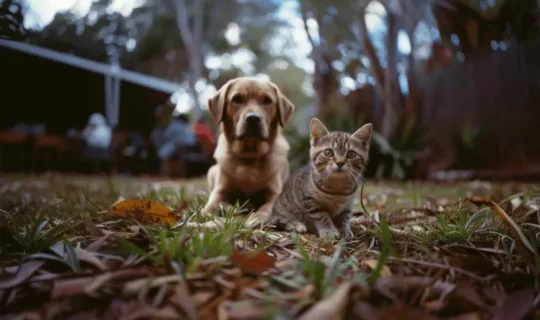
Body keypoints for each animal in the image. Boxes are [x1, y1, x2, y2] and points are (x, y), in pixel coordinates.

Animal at [202, 77, 296, 228]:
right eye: (237, 99)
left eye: (267, 100)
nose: (253, 118)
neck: (249, 157)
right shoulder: (219, 191)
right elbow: (209, 208)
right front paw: (226, 208)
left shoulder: (275, 193)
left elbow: (267, 207)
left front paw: (257, 217)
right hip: (212, 171)